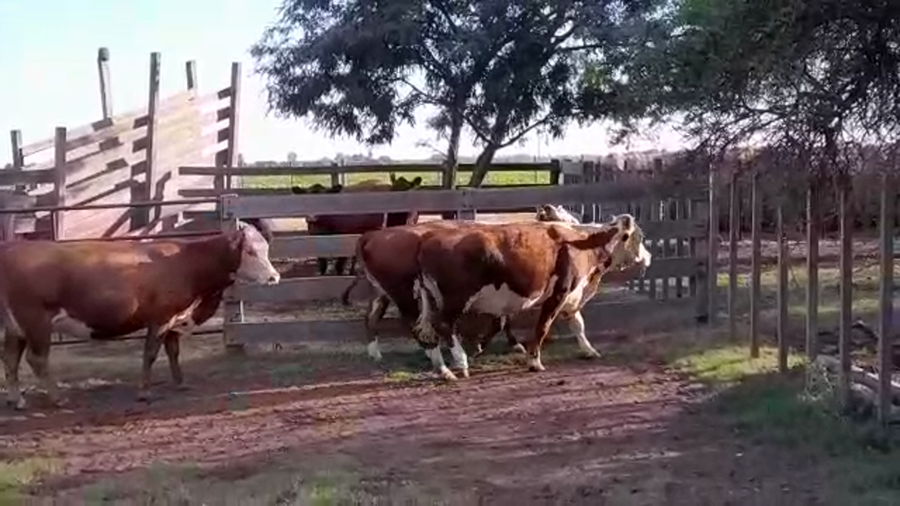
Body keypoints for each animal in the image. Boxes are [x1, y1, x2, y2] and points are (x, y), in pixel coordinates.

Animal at [0, 222, 280, 410]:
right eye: (250, 252)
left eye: (266, 249)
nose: (274, 277)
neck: (187, 262)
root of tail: (12, 249)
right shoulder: (160, 318)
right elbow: (150, 354)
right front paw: (144, 392)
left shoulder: (174, 318)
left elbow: (173, 351)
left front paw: (180, 382)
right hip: (36, 321)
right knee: (37, 359)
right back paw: (58, 398)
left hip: (17, 327)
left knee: (10, 358)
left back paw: (17, 399)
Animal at [293, 175, 423, 276]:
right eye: (303, 200)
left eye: (325, 201)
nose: (311, 217)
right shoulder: (315, 238)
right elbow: (322, 264)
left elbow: (339, 265)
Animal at [413, 214, 651, 380]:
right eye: (640, 237)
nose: (648, 258)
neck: (582, 243)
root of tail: (428, 241)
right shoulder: (559, 293)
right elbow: (543, 327)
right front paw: (534, 361)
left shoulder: (571, 296)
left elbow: (578, 324)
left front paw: (589, 350)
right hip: (455, 299)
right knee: (444, 326)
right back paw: (460, 363)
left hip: (431, 299)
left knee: (426, 330)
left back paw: (443, 370)